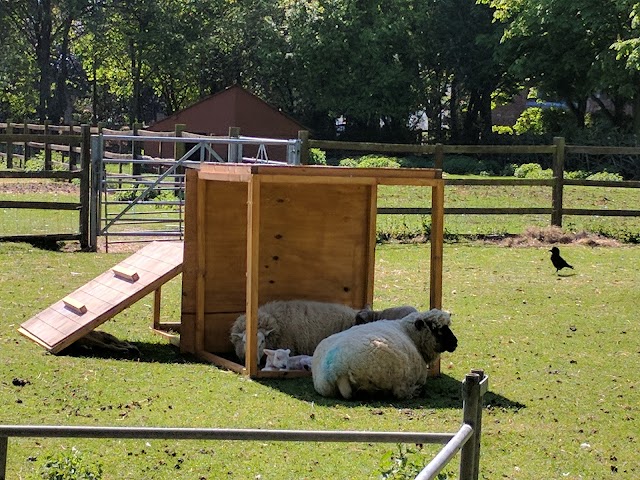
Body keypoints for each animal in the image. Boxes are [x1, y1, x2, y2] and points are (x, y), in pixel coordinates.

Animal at [312, 310, 458, 400]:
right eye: (436, 329)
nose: (455, 342)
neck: (409, 333)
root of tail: (336, 370)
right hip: (396, 377)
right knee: (398, 393)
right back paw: (416, 391)